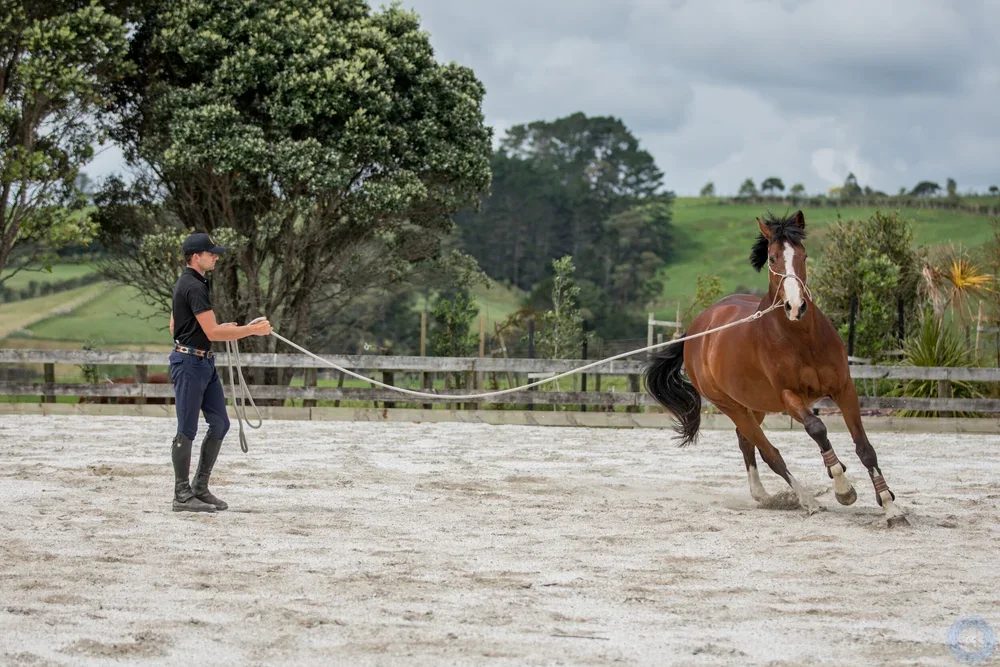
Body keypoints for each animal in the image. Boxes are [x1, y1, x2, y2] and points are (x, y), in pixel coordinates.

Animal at [644, 210, 908, 528]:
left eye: (804, 255)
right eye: (772, 258)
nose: (796, 306)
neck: (802, 338)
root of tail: (696, 330)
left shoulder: (844, 388)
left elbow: (865, 449)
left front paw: (891, 508)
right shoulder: (790, 397)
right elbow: (817, 429)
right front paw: (843, 489)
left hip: (754, 405)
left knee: (745, 441)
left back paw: (763, 495)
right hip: (732, 406)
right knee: (770, 453)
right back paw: (808, 501)